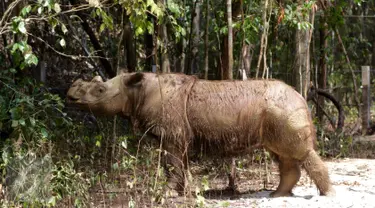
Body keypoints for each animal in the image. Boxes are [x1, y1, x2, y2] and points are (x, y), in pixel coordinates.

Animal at [66, 72, 336, 197]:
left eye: (100, 90)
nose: (70, 95)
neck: (137, 90)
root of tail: (300, 96)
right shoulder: (177, 136)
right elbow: (181, 164)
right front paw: (185, 192)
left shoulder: (172, 135)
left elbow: (173, 164)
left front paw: (168, 193)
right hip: (278, 112)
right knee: (283, 155)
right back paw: (276, 195)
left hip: (283, 109)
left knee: (297, 152)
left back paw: (326, 195)